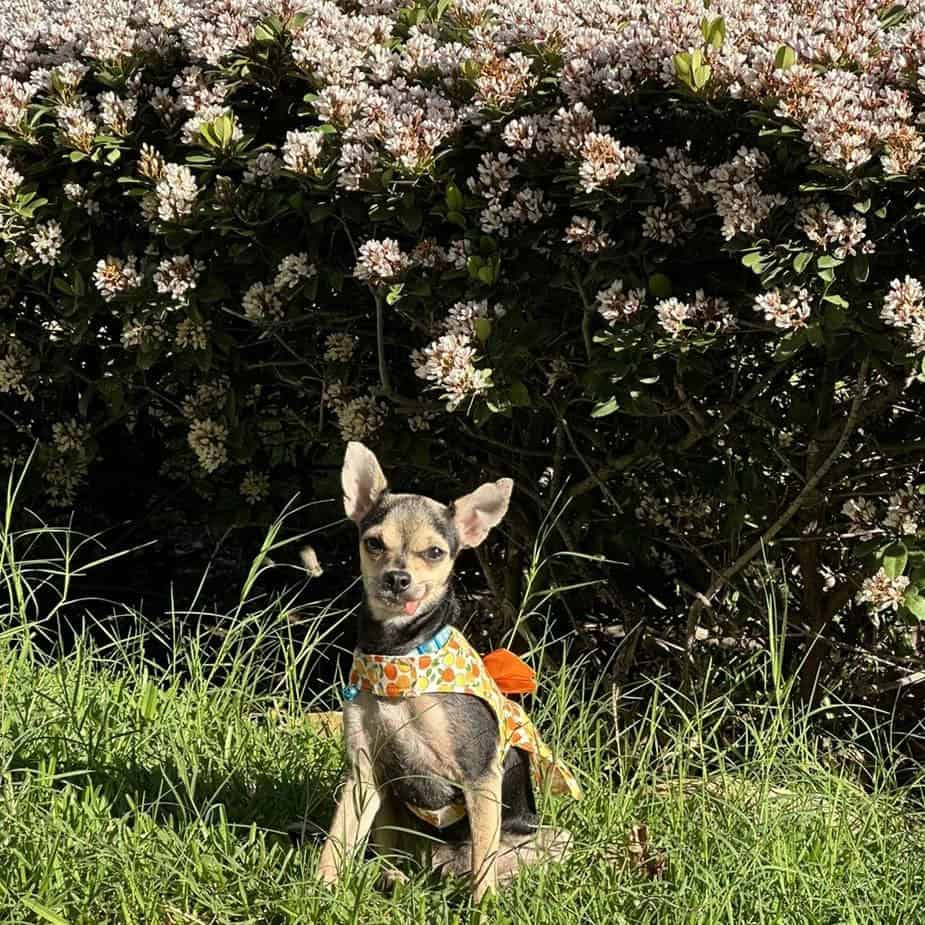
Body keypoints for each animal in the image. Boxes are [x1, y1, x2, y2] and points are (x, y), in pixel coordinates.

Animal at [316, 442, 577, 902]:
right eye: (373, 543)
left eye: (435, 553)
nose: (397, 578)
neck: (400, 656)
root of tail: (437, 867)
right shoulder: (362, 773)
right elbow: (336, 841)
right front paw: (319, 891)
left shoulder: (480, 779)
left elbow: (483, 863)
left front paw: (483, 907)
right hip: (389, 807)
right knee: (392, 855)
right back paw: (394, 877)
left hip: (551, 838)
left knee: (494, 863)